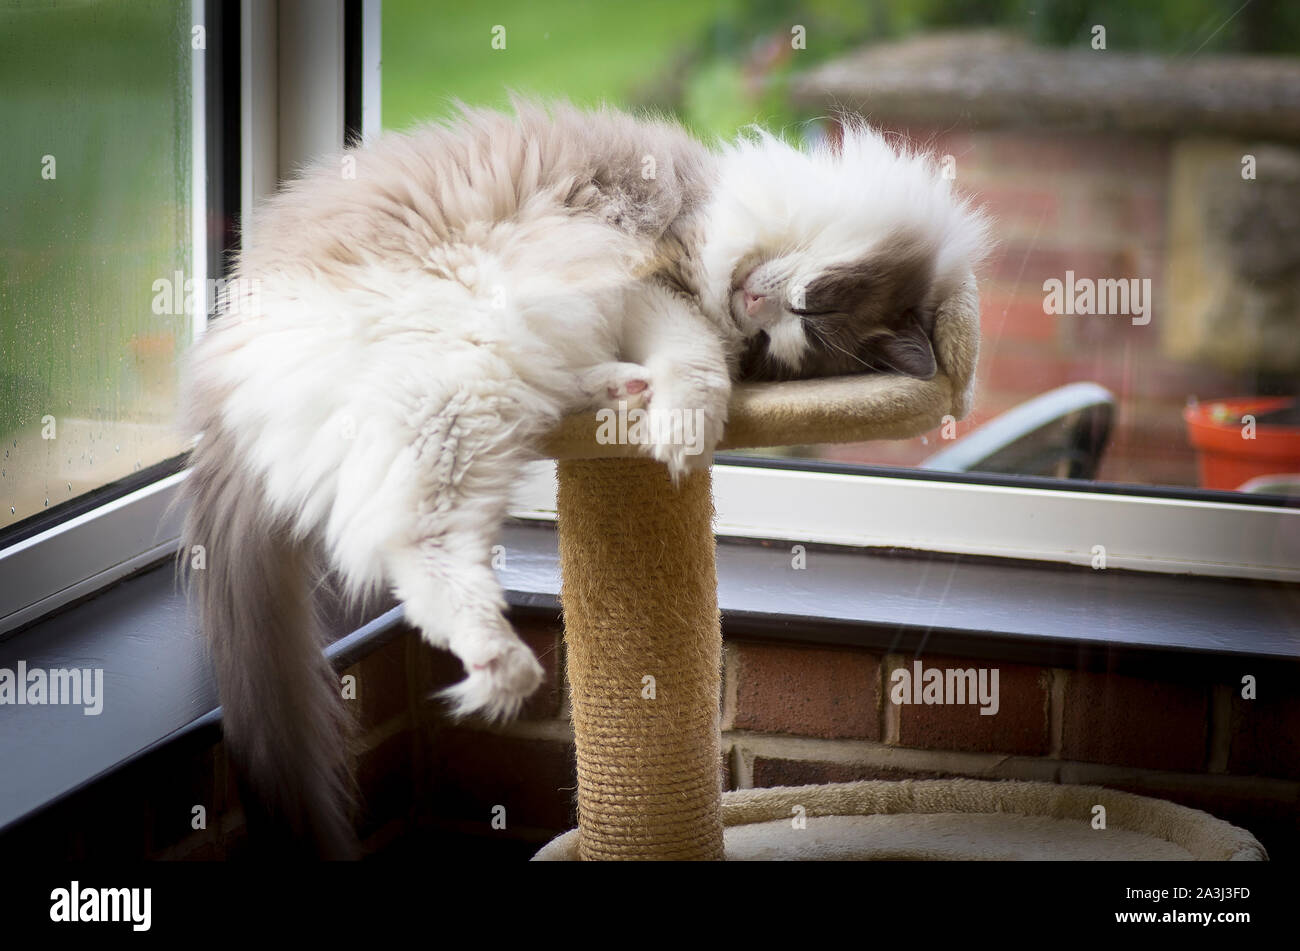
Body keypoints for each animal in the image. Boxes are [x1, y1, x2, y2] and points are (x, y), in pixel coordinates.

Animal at [180, 98, 982, 852]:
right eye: (807, 311)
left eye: (789, 335)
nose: (751, 304)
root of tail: (221, 380)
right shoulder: (655, 282)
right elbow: (697, 364)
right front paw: (683, 437)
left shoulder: (660, 302)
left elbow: (700, 364)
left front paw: (674, 426)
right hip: (464, 377)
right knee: (409, 543)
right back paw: (505, 663)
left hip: (480, 387)